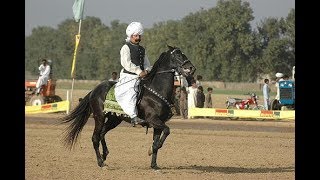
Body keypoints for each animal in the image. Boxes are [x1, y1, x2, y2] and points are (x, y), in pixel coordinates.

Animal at [59, 45, 195, 169]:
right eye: (178, 55)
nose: (191, 68)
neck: (156, 90)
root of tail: (95, 90)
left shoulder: (158, 123)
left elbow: (157, 142)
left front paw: (154, 164)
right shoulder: (153, 120)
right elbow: (167, 131)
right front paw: (150, 151)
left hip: (114, 120)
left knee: (102, 133)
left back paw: (104, 155)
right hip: (100, 117)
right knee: (95, 137)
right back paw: (100, 162)